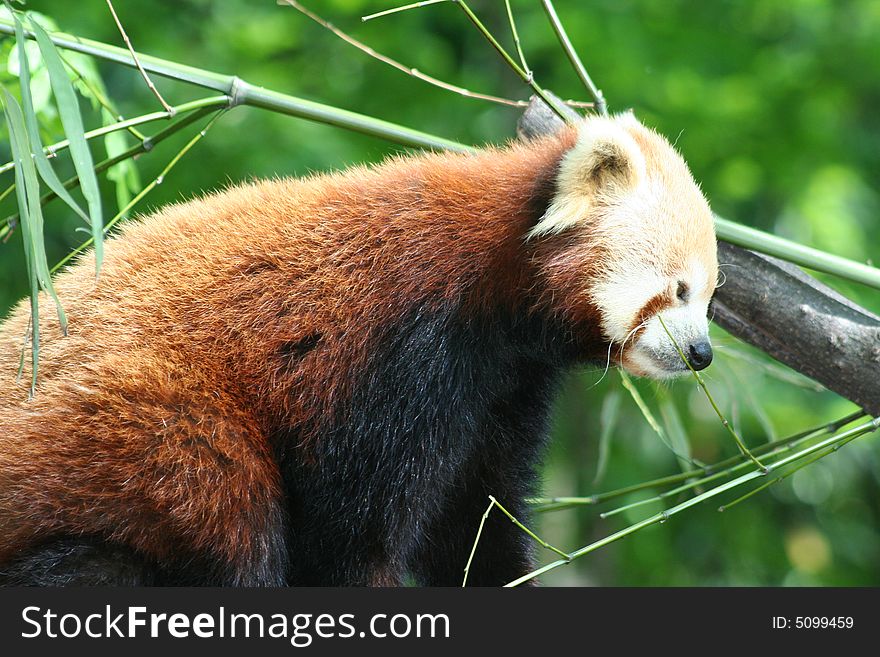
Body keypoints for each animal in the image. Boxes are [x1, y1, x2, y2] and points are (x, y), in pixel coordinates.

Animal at [0, 113, 716, 584]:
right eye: (678, 289)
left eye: (711, 296)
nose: (703, 352)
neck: (495, 284)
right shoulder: (398, 353)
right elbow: (352, 538)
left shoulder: (504, 387)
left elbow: (475, 521)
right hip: (141, 427)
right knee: (226, 515)